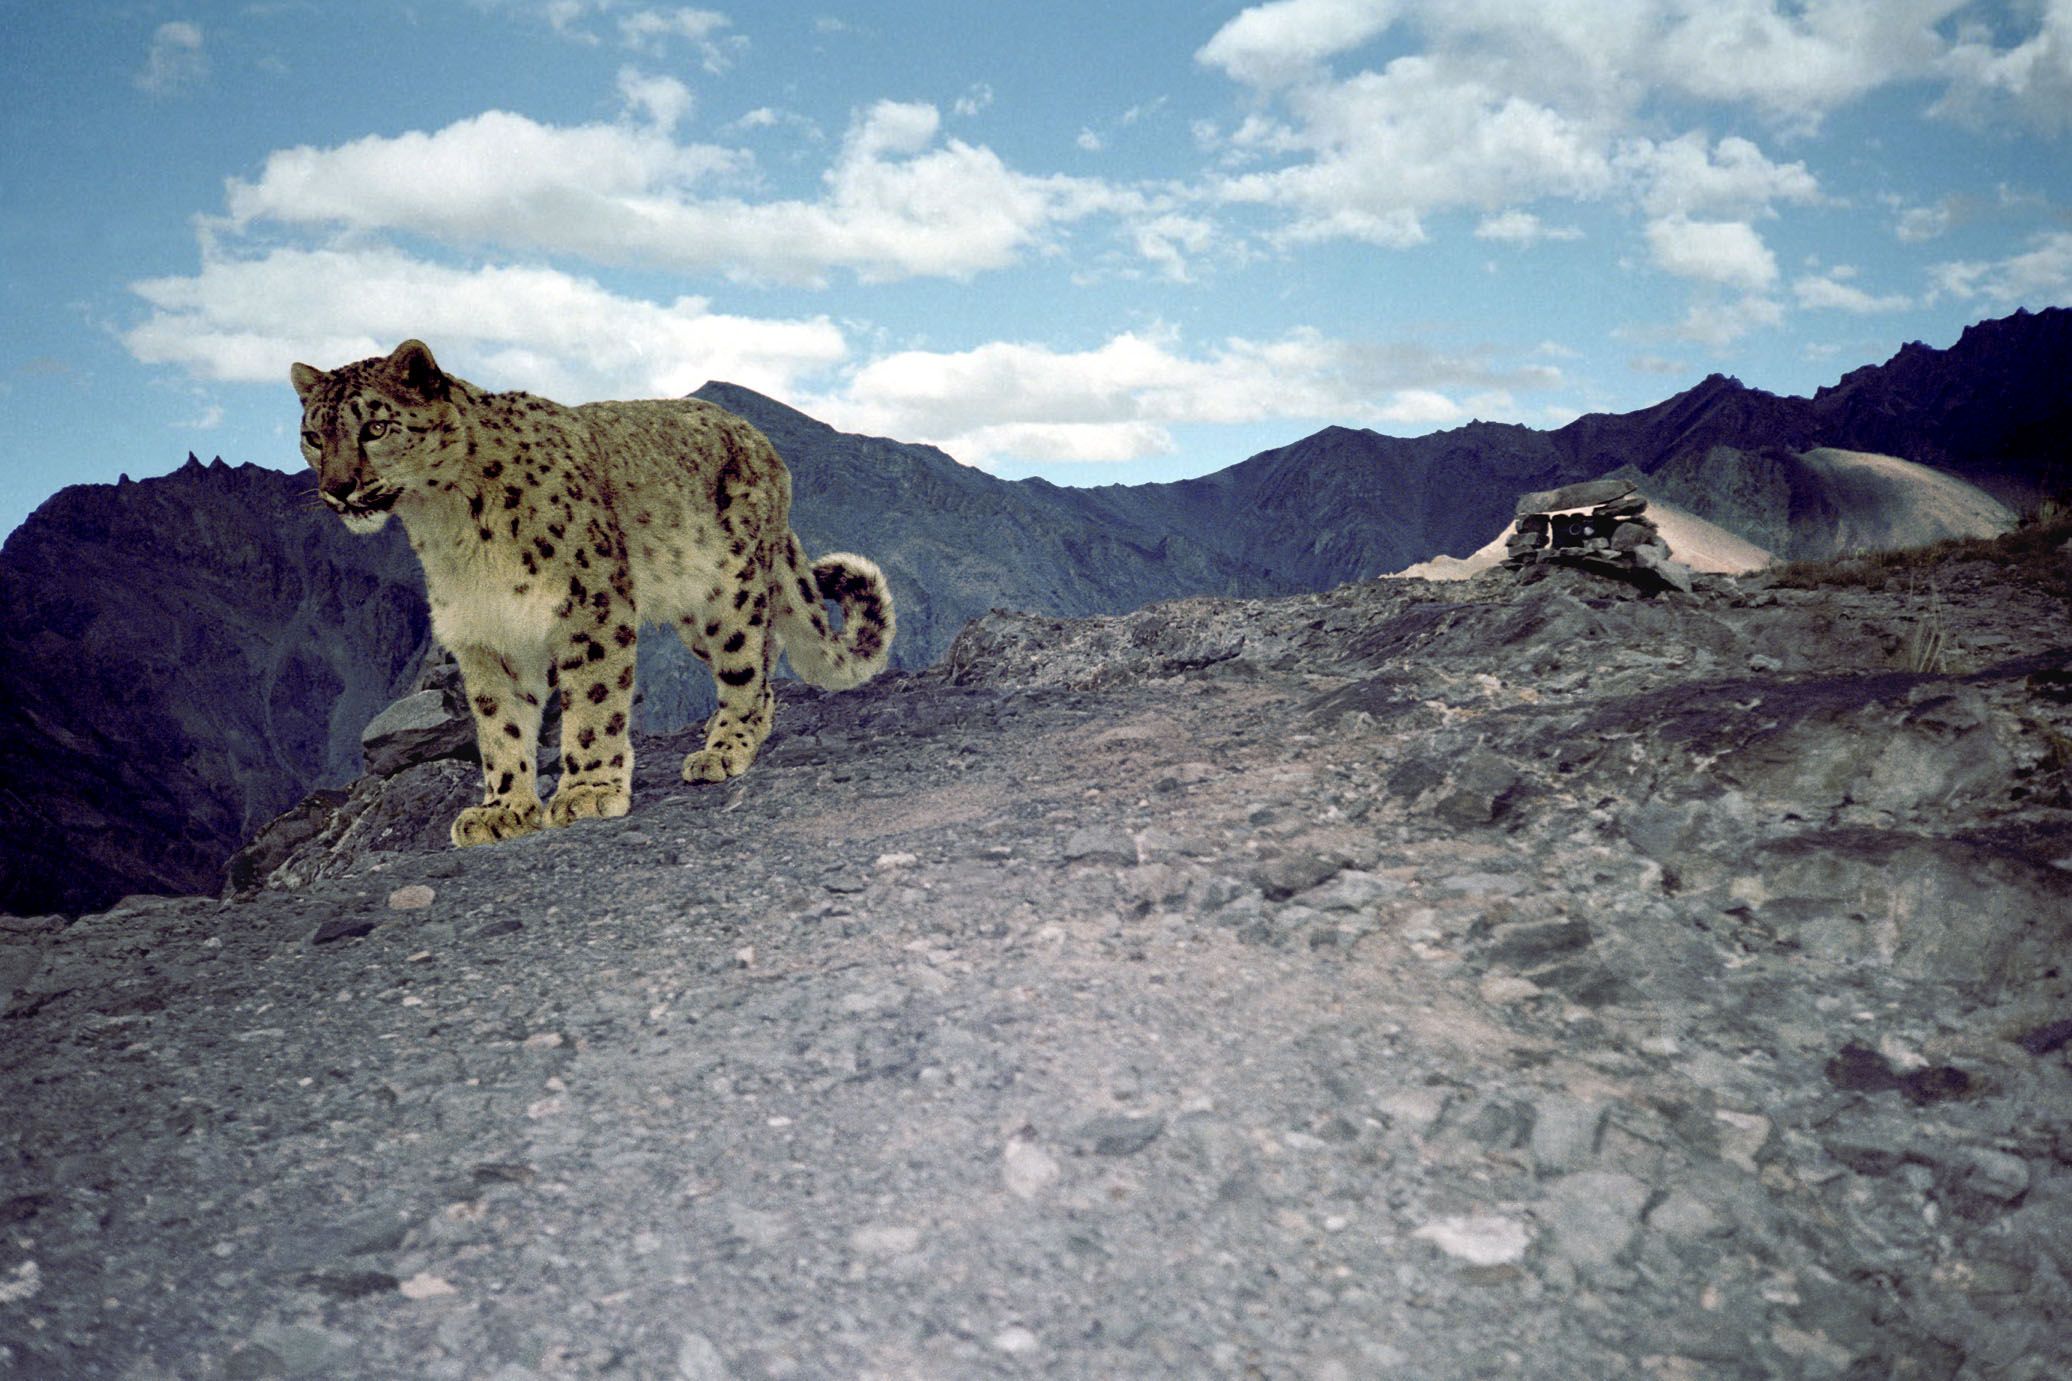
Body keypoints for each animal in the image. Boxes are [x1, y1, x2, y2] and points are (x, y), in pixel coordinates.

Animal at [291, 339, 895, 847]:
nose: (337, 488)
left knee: (748, 669)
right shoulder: (484, 633)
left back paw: (723, 750)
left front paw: (588, 790)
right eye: (313, 436)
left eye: (376, 426)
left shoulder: (590, 607)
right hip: (695, 614)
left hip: (730, 591)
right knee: (766, 667)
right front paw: (503, 808)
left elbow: (594, 702)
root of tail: (766, 449)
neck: (446, 528)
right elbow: (500, 727)